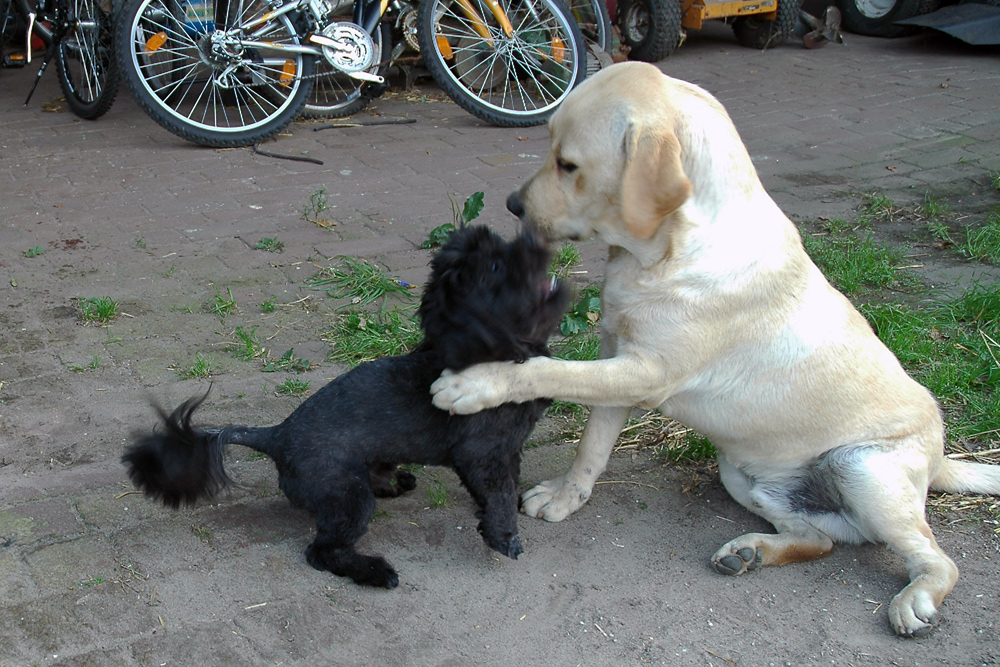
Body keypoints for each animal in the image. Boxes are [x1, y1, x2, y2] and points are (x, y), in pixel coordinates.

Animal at [121, 226, 568, 588]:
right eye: (496, 265)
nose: (533, 238)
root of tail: (277, 436)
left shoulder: (501, 452)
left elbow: (499, 488)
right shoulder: (483, 453)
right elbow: (500, 494)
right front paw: (504, 535)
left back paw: (394, 482)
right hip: (348, 495)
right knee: (322, 552)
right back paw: (374, 571)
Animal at [434, 61, 1000, 636]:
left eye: (568, 164)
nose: (513, 205)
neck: (665, 250)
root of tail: (939, 459)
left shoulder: (645, 371)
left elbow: (548, 369)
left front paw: (476, 384)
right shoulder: (618, 354)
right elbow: (591, 448)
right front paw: (567, 496)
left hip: (863, 471)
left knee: (936, 557)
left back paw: (915, 598)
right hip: (741, 473)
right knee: (819, 540)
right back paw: (751, 552)